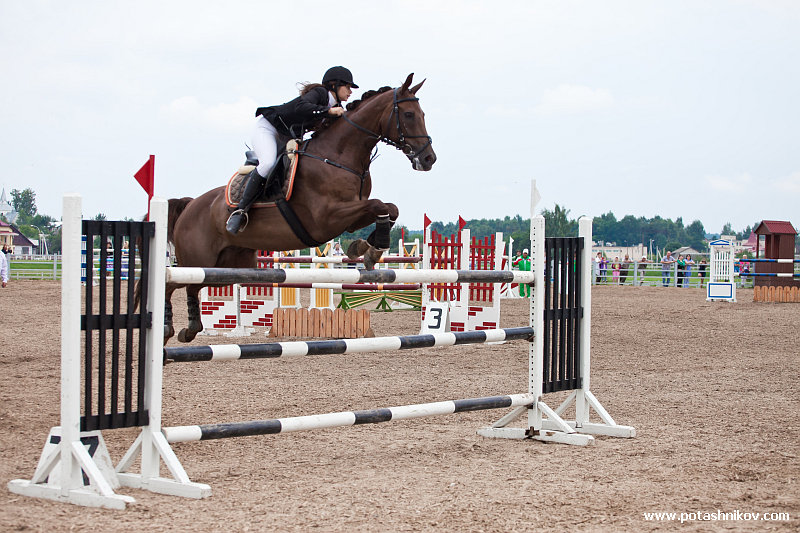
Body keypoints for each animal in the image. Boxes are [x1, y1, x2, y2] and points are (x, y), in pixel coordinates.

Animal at [164, 73, 436, 344]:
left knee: (191, 287)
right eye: (409, 114)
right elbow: (379, 204)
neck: (337, 156)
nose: (428, 159)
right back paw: (170, 328)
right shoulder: (327, 218)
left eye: (423, 114)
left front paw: (367, 248)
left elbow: (390, 209)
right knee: (170, 284)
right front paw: (369, 249)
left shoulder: (350, 218)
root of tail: (190, 205)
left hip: (226, 267)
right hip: (197, 262)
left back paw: (190, 328)